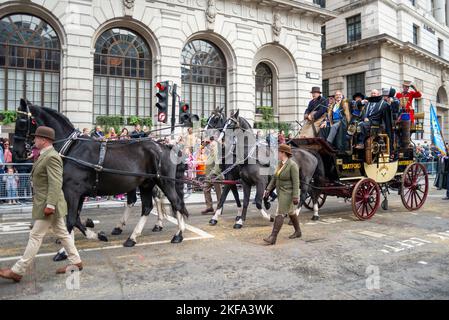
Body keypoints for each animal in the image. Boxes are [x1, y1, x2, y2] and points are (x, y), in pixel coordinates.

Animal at [12, 100, 187, 245]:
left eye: (21, 121)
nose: (17, 152)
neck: (71, 148)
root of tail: (165, 146)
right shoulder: (77, 192)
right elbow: (75, 218)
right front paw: (94, 234)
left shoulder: (72, 190)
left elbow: (71, 219)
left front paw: (65, 249)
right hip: (146, 184)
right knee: (147, 206)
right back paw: (132, 237)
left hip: (165, 181)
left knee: (175, 202)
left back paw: (178, 234)